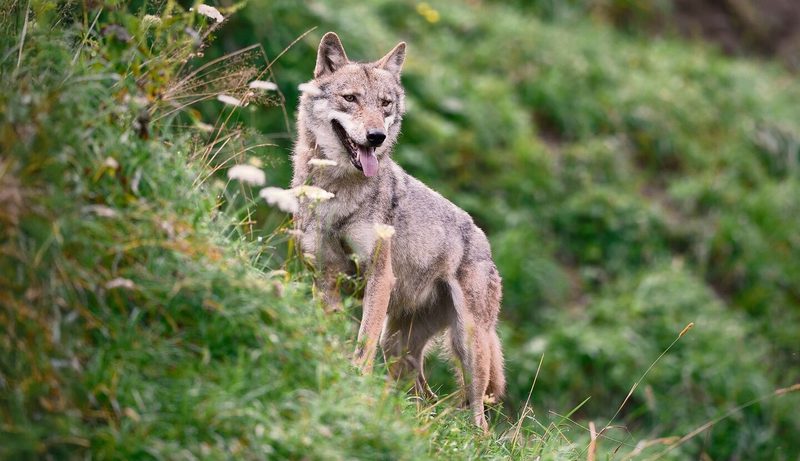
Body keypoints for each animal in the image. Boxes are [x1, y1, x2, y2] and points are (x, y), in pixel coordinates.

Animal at [291, 32, 505, 430]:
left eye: (385, 103)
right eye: (351, 98)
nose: (375, 136)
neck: (337, 192)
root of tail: (483, 238)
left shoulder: (380, 277)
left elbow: (362, 342)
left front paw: (354, 384)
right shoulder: (325, 275)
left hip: (468, 345)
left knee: (478, 413)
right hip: (398, 348)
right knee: (425, 397)